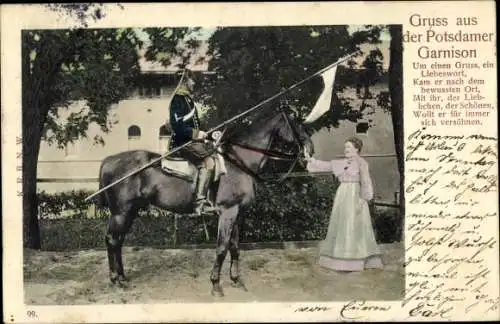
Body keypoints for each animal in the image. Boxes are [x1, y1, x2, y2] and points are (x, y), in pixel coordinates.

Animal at [96, 110, 312, 298]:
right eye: (296, 123)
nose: (310, 150)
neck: (239, 162)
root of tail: (109, 160)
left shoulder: (237, 214)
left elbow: (235, 247)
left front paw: (236, 280)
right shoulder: (227, 212)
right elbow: (222, 248)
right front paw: (216, 285)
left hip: (130, 212)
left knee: (119, 241)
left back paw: (122, 277)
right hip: (121, 213)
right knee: (112, 240)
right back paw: (115, 279)